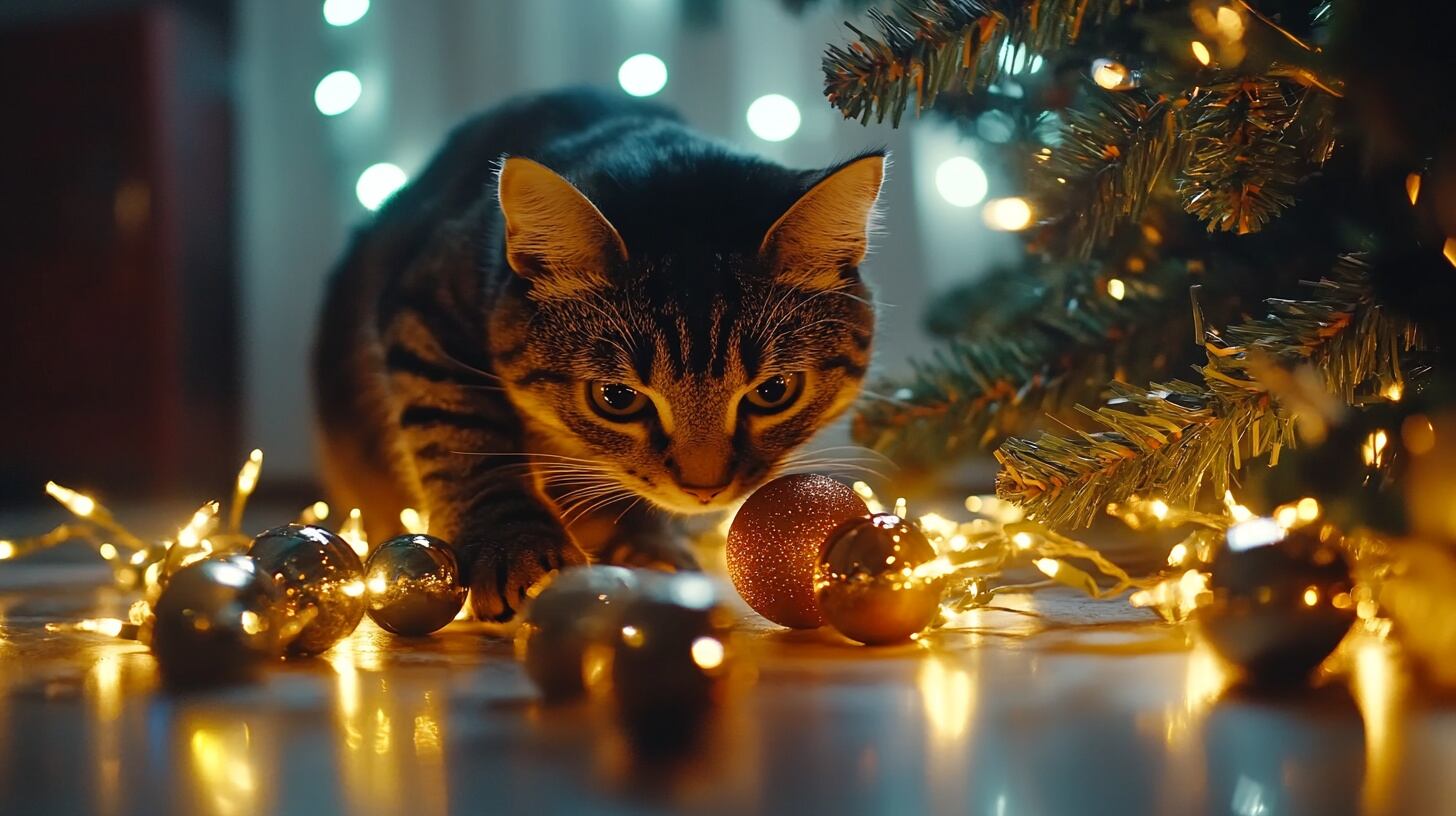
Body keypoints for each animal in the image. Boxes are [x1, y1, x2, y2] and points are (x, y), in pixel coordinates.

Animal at [313, 87, 879, 617]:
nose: (705, 488)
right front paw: (512, 545)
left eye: (774, 391)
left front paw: (650, 548)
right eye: (616, 398)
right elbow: (469, 438)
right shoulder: (426, 307)